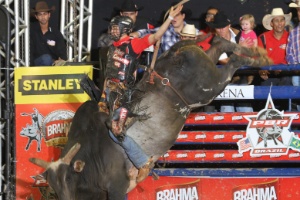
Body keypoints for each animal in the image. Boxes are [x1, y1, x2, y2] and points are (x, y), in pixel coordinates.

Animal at [28, 36, 272, 199]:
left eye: (70, 178)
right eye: (53, 188)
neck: (92, 155)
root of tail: (174, 53)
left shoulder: (117, 187)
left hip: (209, 86)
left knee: (232, 62)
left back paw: (259, 57)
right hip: (207, 67)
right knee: (220, 45)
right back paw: (252, 51)